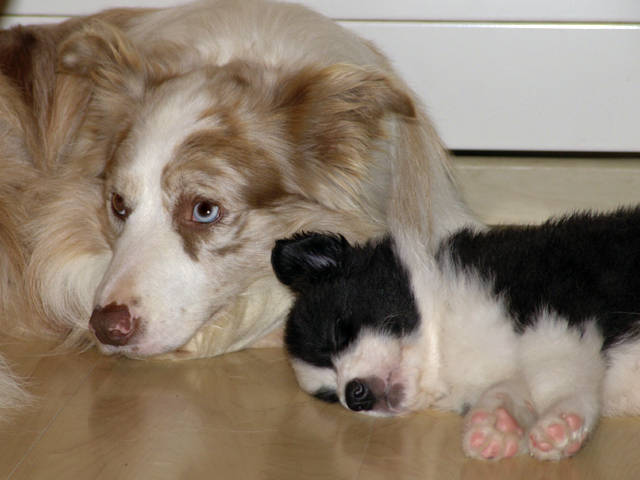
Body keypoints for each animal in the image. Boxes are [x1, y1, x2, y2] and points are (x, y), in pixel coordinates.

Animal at [272, 207, 640, 461]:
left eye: (337, 333)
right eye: (329, 395)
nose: (354, 396)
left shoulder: (554, 311)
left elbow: (558, 371)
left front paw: (560, 422)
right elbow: (508, 389)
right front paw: (495, 426)